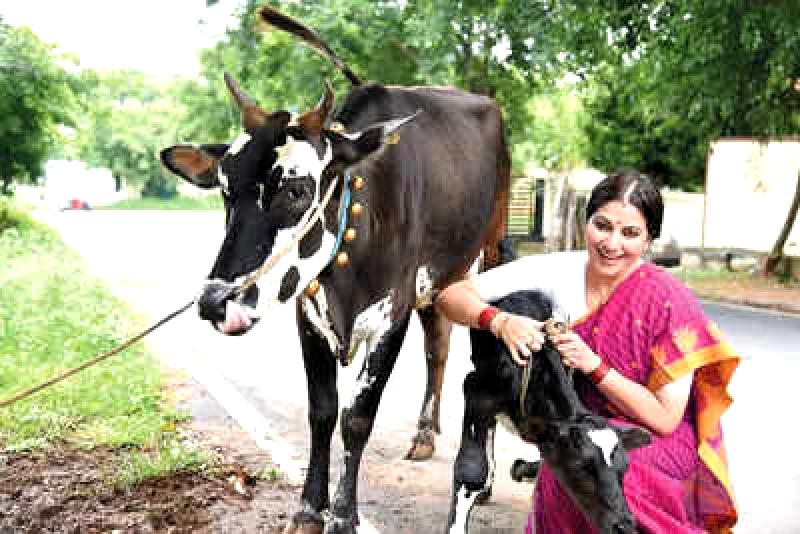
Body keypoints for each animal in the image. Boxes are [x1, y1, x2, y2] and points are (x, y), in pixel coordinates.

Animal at [159, 5, 512, 534]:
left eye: (297, 189)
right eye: (224, 189)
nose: (214, 301)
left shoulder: (391, 315)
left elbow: (357, 417)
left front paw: (344, 515)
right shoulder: (309, 314)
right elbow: (323, 412)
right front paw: (309, 507)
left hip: (484, 257)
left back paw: (484, 479)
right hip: (440, 279)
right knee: (438, 345)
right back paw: (425, 434)